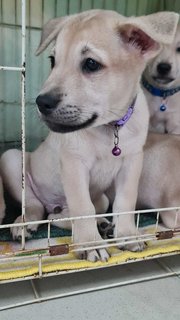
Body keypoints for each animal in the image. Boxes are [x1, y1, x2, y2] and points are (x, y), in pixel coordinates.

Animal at [1, 10, 179, 262]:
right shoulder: (74, 164)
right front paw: (89, 244)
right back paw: (24, 225)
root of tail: (54, 205)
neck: (110, 127)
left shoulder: (132, 163)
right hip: (12, 159)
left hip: (102, 198)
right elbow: (82, 208)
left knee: (65, 216)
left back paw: (102, 224)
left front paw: (127, 234)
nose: (41, 102)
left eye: (91, 64)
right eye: (53, 61)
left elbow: (125, 202)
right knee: (35, 207)